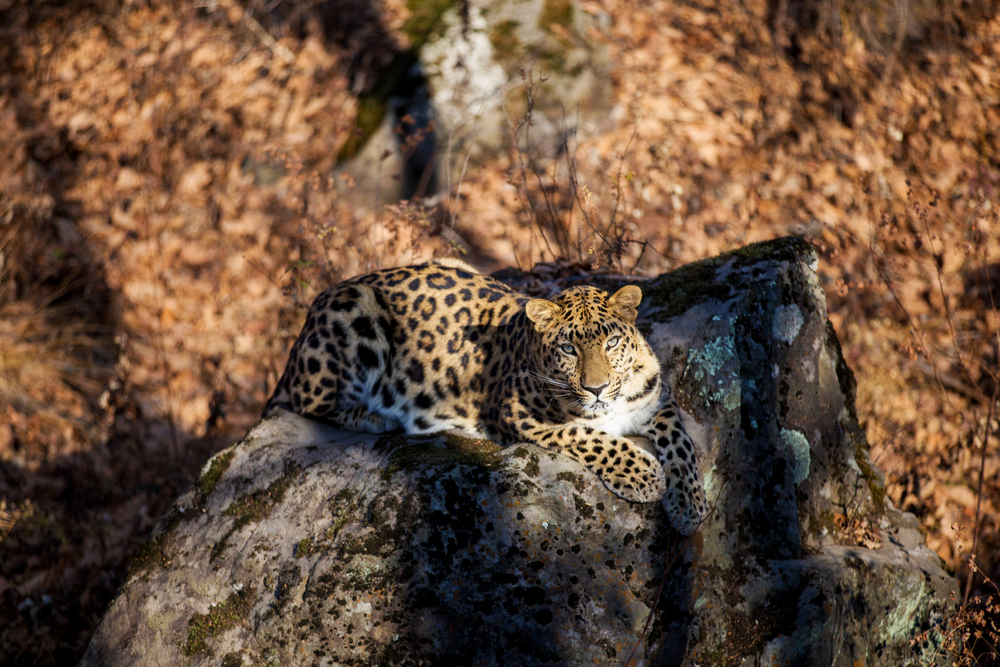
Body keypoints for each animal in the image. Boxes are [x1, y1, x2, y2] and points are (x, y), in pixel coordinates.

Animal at [262, 260, 708, 536]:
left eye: (611, 342)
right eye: (568, 349)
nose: (596, 388)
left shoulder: (658, 399)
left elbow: (682, 443)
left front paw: (689, 505)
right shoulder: (522, 415)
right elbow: (588, 438)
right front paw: (644, 475)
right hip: (354, 309)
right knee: (308, 402)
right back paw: (377, 417)